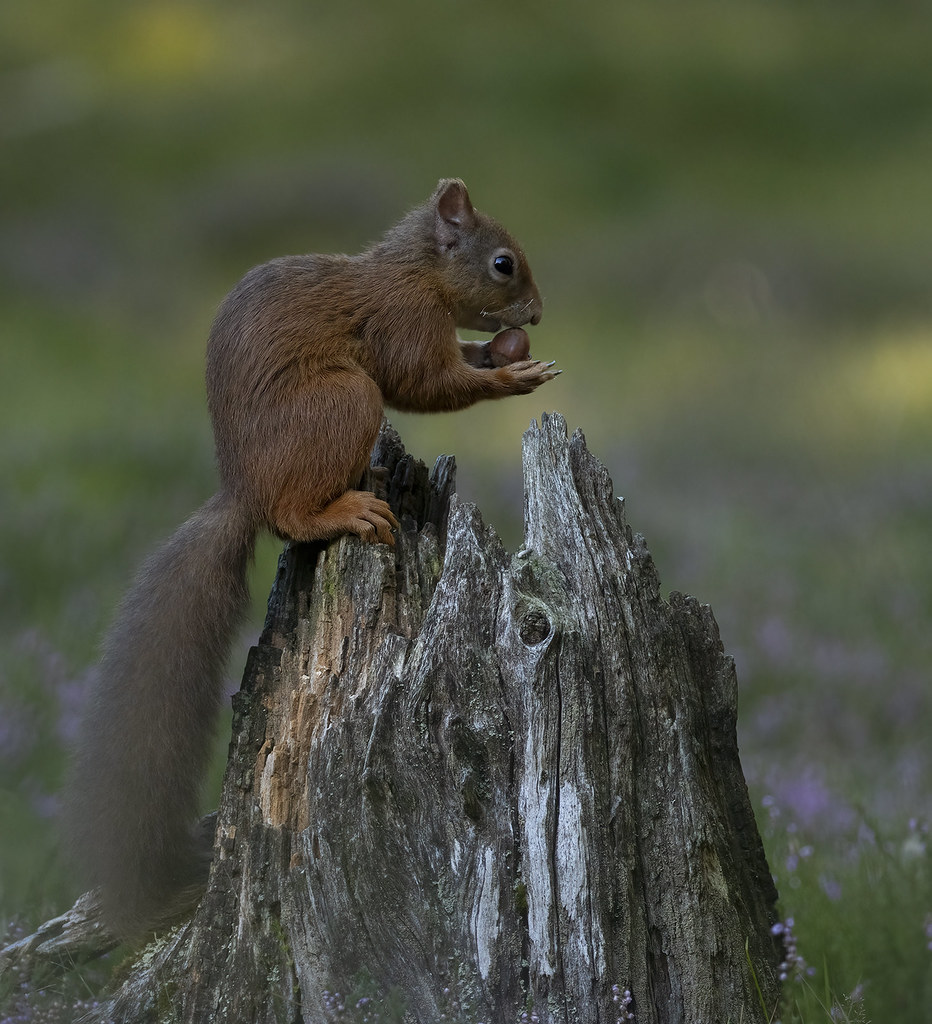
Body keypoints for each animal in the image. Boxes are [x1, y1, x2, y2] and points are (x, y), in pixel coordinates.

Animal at [64, 178, 558, 942]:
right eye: (503, 263)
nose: (535, 313)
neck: (414, 272)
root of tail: (246, 490)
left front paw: (495, 353)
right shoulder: (401, 323)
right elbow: (423, 382)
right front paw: (512, 374)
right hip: (342, 400)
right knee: (298, 515)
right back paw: (348, 508)